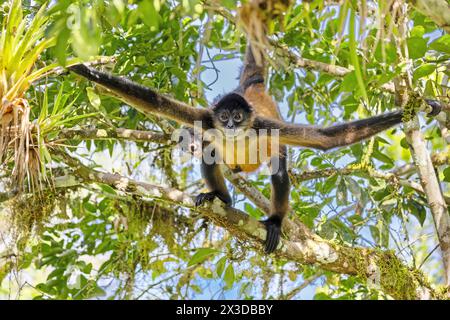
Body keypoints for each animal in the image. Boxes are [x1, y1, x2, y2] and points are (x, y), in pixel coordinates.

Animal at [68, 45, 442, 255]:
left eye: (237, 117)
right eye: (224, 117)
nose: (232, 125)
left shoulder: (265, 126)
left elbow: (325, 139)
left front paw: (416, 109)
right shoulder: (205, 118)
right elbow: (152, 100)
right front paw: (82, 69)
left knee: (278, 170)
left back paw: (274, 222)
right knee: (211, 154)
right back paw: (221, 198)